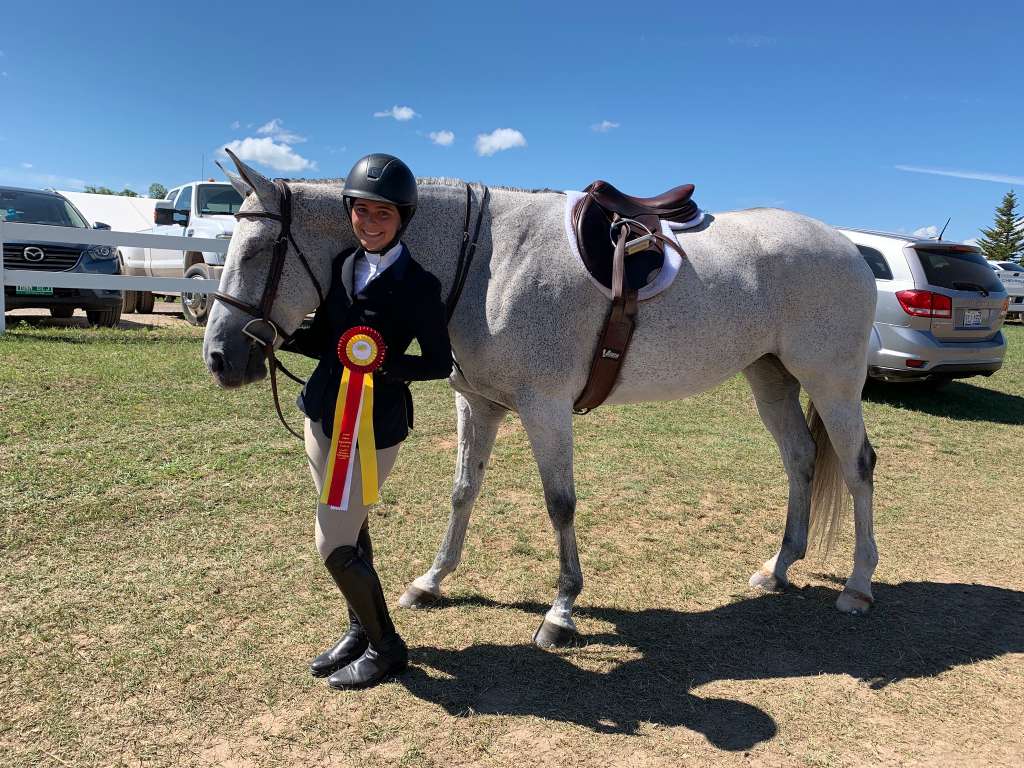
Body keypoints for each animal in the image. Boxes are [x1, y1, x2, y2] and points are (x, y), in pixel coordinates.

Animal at [203, 151, 878, 649]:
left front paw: (561, 609)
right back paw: (779, 567)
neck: (486, 260)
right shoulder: (479, 403)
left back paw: (858, 585)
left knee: (857, 466)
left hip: (833, 381)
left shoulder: (545, 407)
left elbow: (560, 504)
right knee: (800, 459)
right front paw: (431, 580)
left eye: (257, 252)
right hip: (771, 377)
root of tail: (851, 249)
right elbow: (463, 491)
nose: (219, 358)